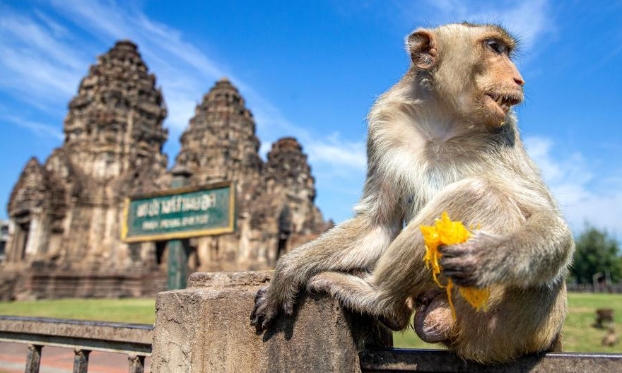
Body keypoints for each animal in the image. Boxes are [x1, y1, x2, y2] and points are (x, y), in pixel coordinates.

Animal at [250, 21, 576, 362]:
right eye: (494, 48)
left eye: (503, 50)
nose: (519, 79)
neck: (443, 120)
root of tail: (551, 334)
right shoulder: (383, 122)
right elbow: (378, 223)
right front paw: (288, 269)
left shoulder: (505, 133)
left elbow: (550, 222)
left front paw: (489, 256)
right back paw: (385, 305)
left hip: (511, 319)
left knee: (479, 194)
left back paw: (377, 297)